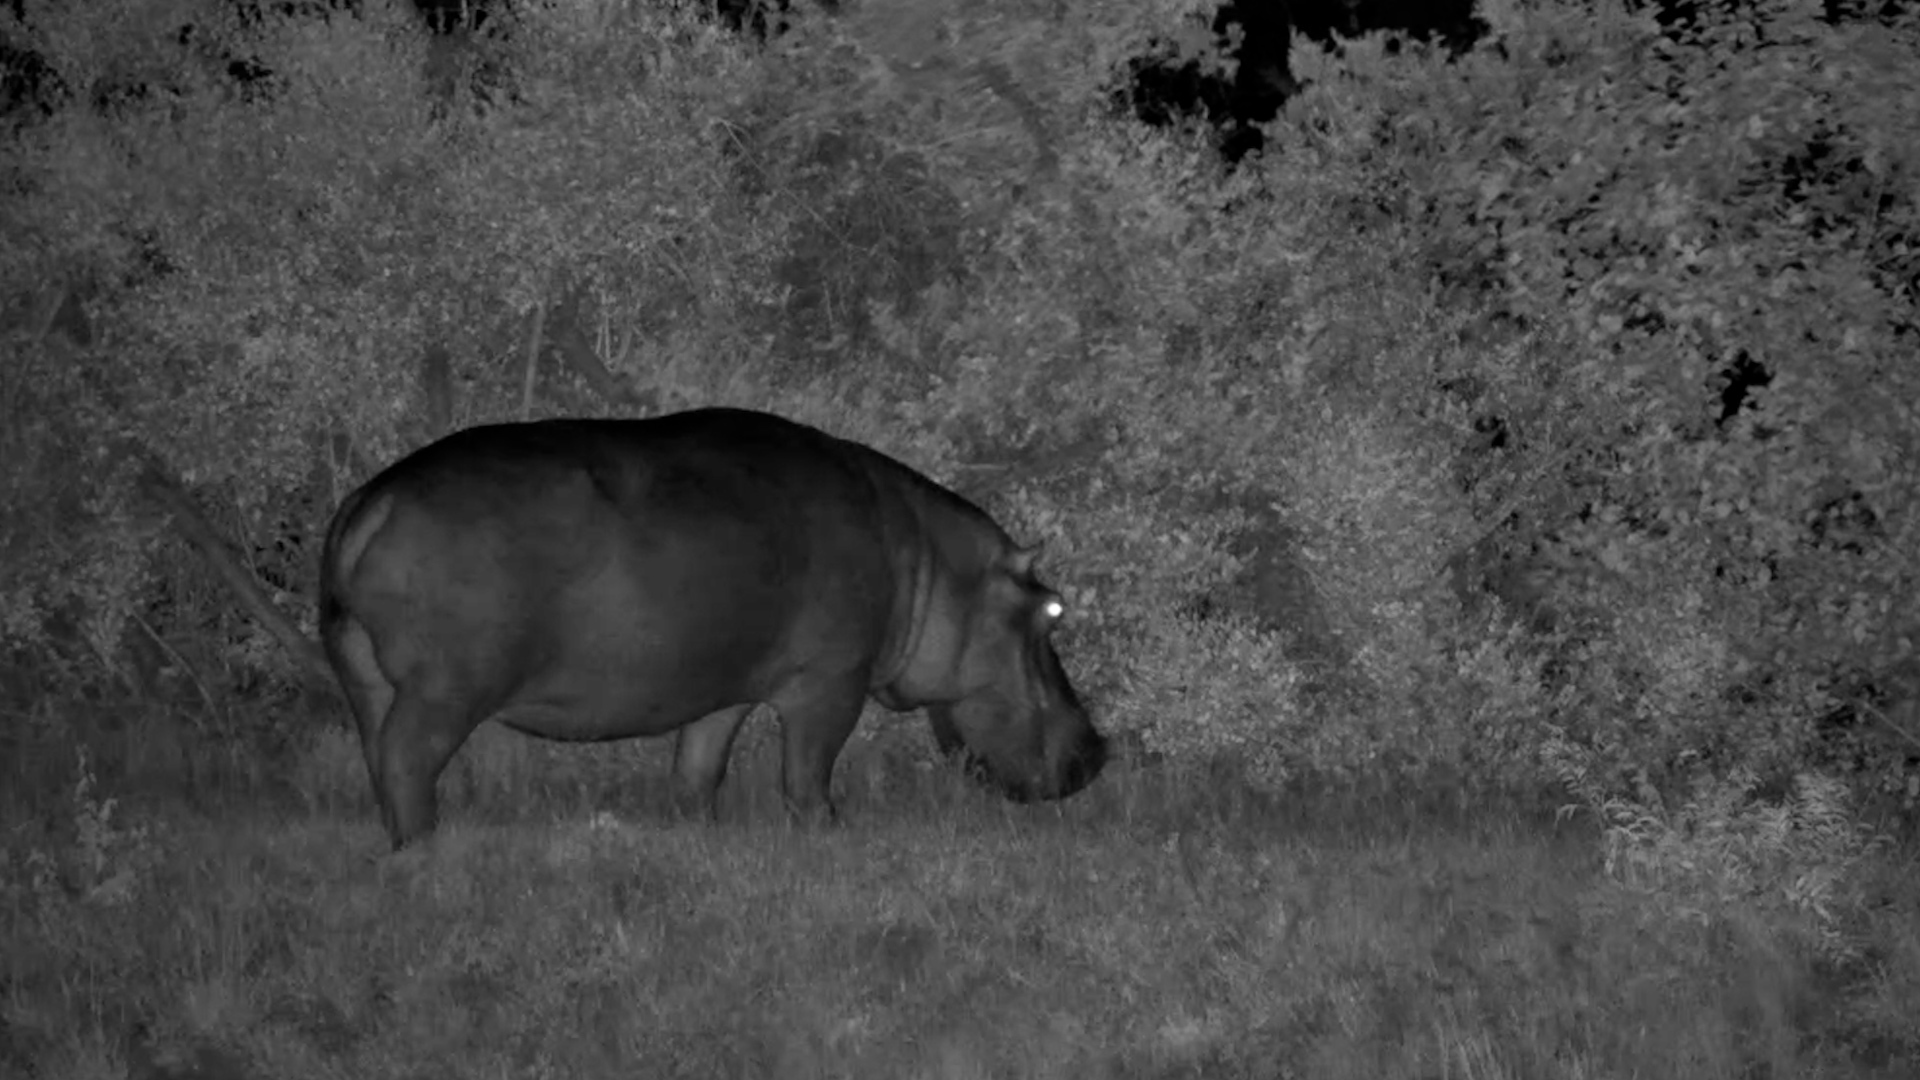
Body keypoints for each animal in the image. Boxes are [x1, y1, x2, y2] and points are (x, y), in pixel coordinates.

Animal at [319, 407, 1106, 848]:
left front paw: (703, 830)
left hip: (365, 678)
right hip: (445, 690)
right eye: (1053, 609)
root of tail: (372, 500)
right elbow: (807, 771)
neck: (932, 567)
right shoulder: (831, 683)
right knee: (408, 759)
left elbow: (699, 767)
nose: (1099, 751)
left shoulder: (724, 688)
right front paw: (831, 832)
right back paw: (427, 845)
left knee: (378, 754)